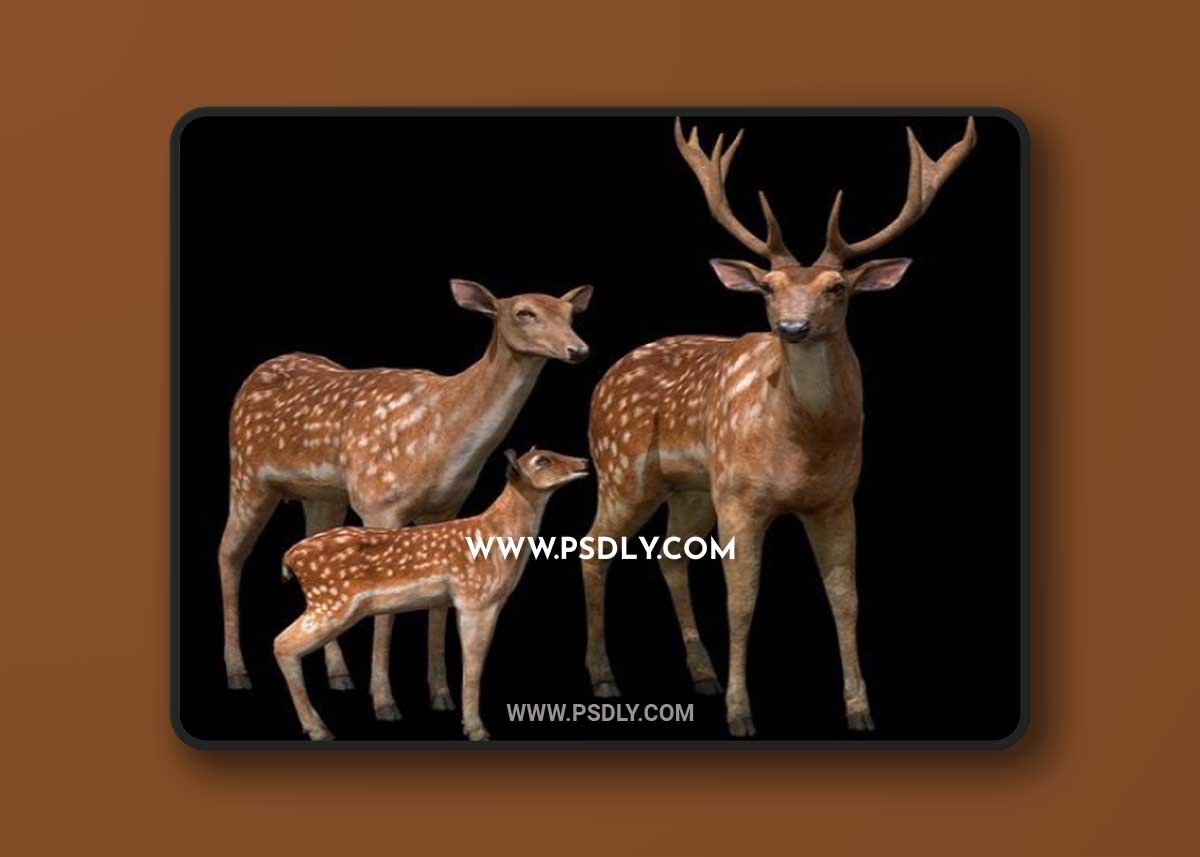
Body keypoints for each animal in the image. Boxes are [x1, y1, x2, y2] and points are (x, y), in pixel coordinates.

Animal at [276, 448, 589, 741]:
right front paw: (477, 730)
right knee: (283, 644)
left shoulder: (482, 601)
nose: (584, 463)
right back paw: (319, 729)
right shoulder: (475, 598)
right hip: (331, 601)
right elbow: (473, 665)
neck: (498, 538)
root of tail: (289, 557)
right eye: (542, 461)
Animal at [581, 117, 975, 737]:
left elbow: (845, 596)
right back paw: (604, 679)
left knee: (669, 554)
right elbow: (742, 598)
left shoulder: (838, 498)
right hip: (622, 469)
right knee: (593, 549)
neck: (800, 449)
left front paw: (859, 709)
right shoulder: (742, 497)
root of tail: (606, 377)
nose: (792, 327)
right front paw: (741, 714)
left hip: (693, 488)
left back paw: (702, 675)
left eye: (838, 287)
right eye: (768, 287)